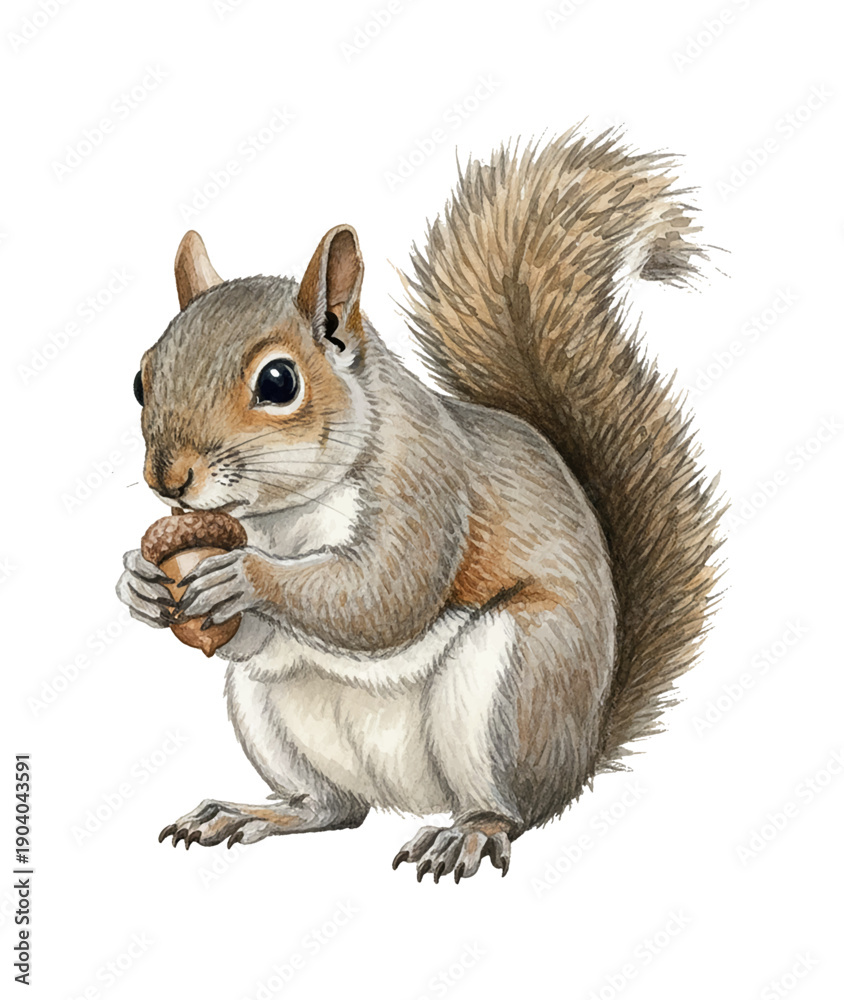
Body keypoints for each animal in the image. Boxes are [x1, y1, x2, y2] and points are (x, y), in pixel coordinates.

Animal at [116, 128, 722, 883]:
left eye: (279, 381)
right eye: (140, 378)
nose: (168, 479)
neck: (282, 516)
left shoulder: (425, 486)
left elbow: (385, 595)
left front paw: (244, 575)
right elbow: (247, 633)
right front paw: (139, 584)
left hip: (514, 688)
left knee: (509, 808)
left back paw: (465, 833)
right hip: (265, 711)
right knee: (333, 807)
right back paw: (253, 812)